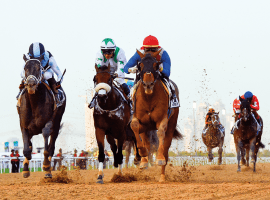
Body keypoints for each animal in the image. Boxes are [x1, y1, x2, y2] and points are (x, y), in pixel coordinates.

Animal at [130, 49, 182, 182]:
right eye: (140, 65)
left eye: (156, 65)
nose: (148, 83)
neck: (149, 98)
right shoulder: (141, 121)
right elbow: (134, 126)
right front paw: (142, 155)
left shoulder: (162, 119)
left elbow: (161, 133)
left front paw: (159, 158)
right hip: (147, 128)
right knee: (146, 142)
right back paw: (143, 161)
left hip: (172, 123)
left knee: (166, 149)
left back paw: (162, 176)